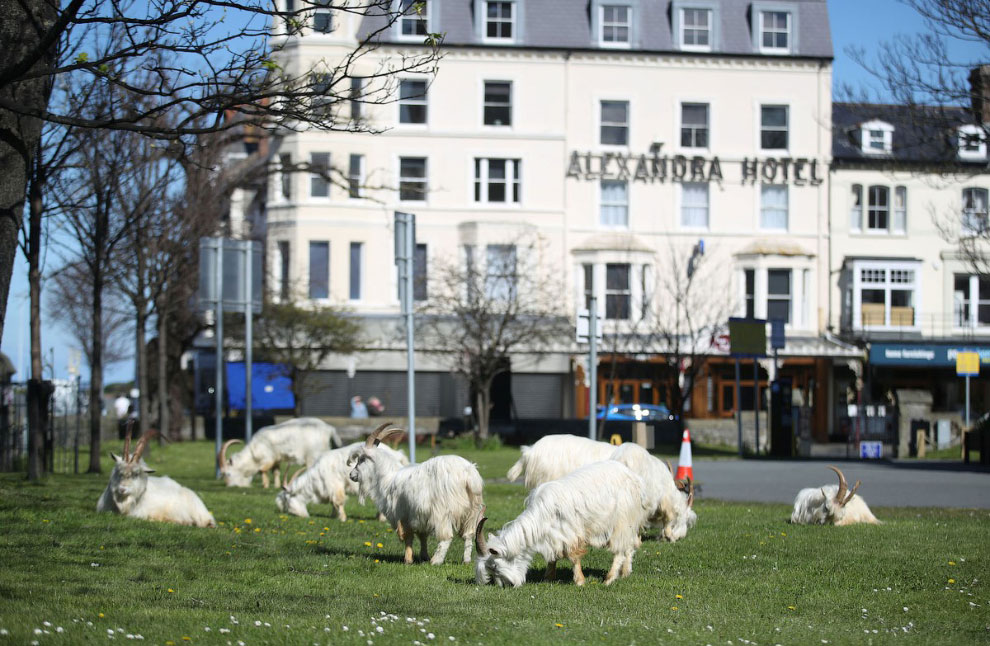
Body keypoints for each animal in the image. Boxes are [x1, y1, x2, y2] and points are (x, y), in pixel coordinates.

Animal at [274, 442, 408, 524]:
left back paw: (381, 518)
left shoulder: (334, 484)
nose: (298, 515)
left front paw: (342, 518)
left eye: (286, 500)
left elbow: (338, 501)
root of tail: (398, 454)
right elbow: (333, 503)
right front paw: (334, 516)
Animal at [348, 422, 488, 564]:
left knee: (446, 537)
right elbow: (422, 536)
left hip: (443, 512)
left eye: (362, 459)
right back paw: (466, 560)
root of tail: (468, 474)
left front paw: (408, 560)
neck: (388, 477)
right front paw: (423, 556)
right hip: (472, 511)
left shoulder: (403, 514)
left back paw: (436, 561)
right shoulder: (420, 516)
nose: (351, 475)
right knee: (469, 534)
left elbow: (407, 536)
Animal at [476, 460, 656, 588]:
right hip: (631, 523)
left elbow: (573, 557)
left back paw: (609, 579)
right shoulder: (552, 536)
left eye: (495, 566)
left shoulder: (570, 532)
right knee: (629, 546)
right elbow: (552, 557)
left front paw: (580, 581)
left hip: (623, 520)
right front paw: (548, 578)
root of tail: (636, 479)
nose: (509, 585)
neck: (542, 514)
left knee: (619, 549)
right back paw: (625, 573)